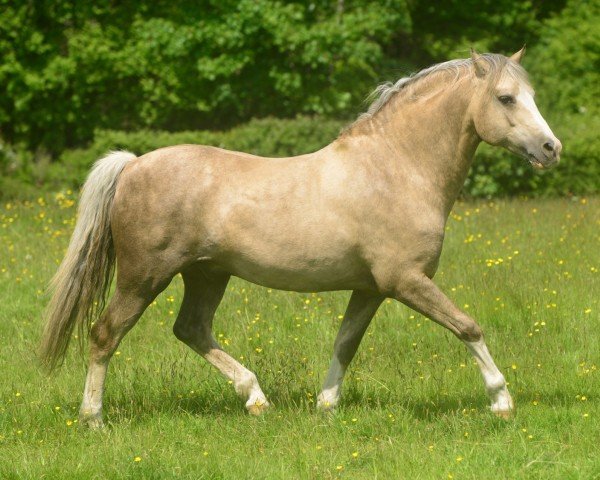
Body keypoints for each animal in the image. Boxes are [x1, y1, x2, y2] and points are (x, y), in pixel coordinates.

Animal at [39, 47, 560, 426]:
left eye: (533, 94)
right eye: (506, 98)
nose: (551, 148)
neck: (397, 168)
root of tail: (132, 165)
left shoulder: (371, 288)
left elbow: (345, 342)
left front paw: (325, 407)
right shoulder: (406, 281)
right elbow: (468, 326)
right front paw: (501, 401)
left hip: (207, 275)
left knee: (191, 329)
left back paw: (256, 399)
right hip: (144, 277)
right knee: (105, 334)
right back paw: (94, 420)